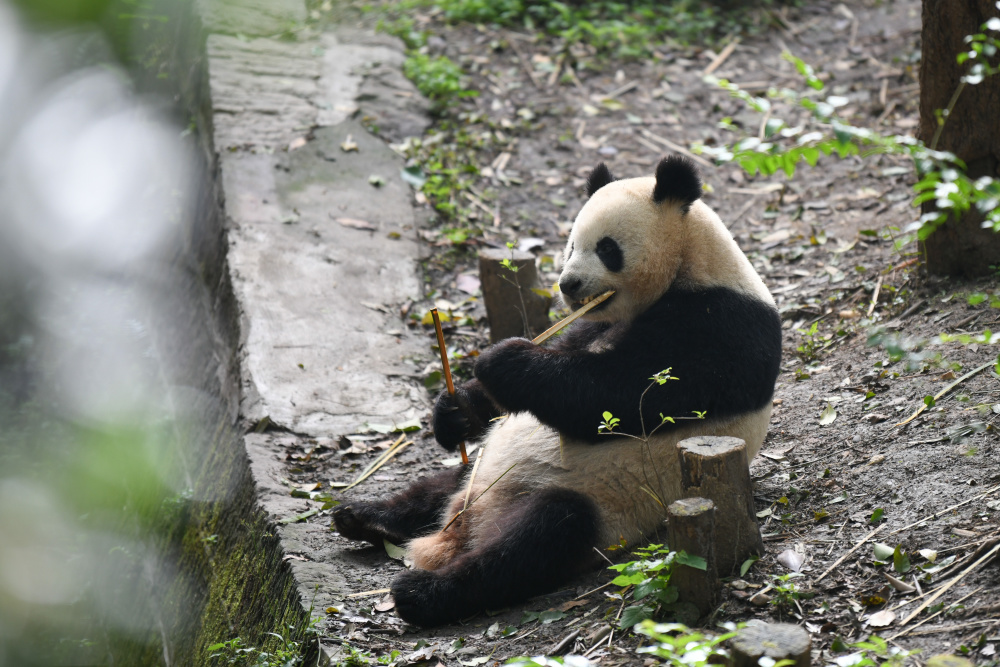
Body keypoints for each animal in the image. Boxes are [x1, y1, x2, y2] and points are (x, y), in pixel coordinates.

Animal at [332, 155, 784, 628]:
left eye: (606, 248)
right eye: (570, 245)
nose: (568, 285)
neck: (691, 262)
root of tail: (467, 525)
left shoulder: (722, 329)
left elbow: (621, 400)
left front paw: (503, 360)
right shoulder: (596, 324)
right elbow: (557, 368)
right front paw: (454, 411)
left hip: (601, 507)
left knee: (537, 540)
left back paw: (422, 592)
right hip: (482, 472)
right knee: (440, 487)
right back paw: (365, 517)